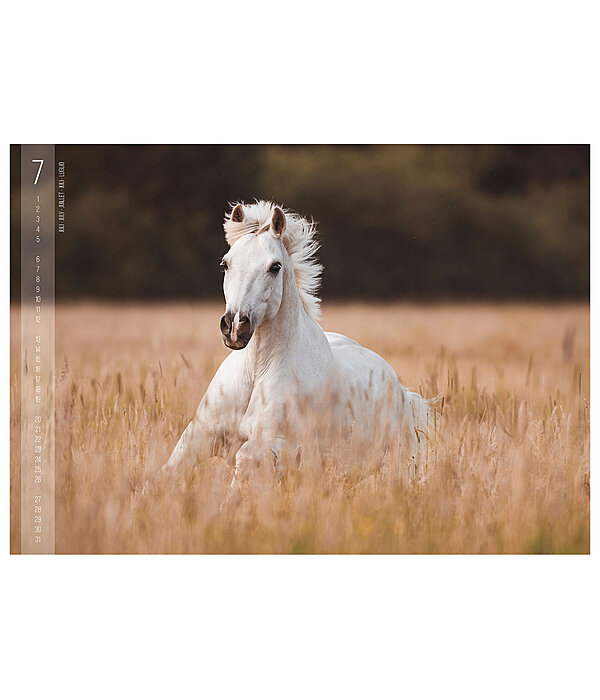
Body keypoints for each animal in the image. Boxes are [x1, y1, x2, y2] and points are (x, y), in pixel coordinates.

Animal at [164, 200, 437, 478]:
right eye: (225, 264)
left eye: (275, 267)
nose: (235, 326)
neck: (257, 371)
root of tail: (402, 391)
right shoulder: (196, 436)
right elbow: (166, 474)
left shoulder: (269, 445)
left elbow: (242, 465)